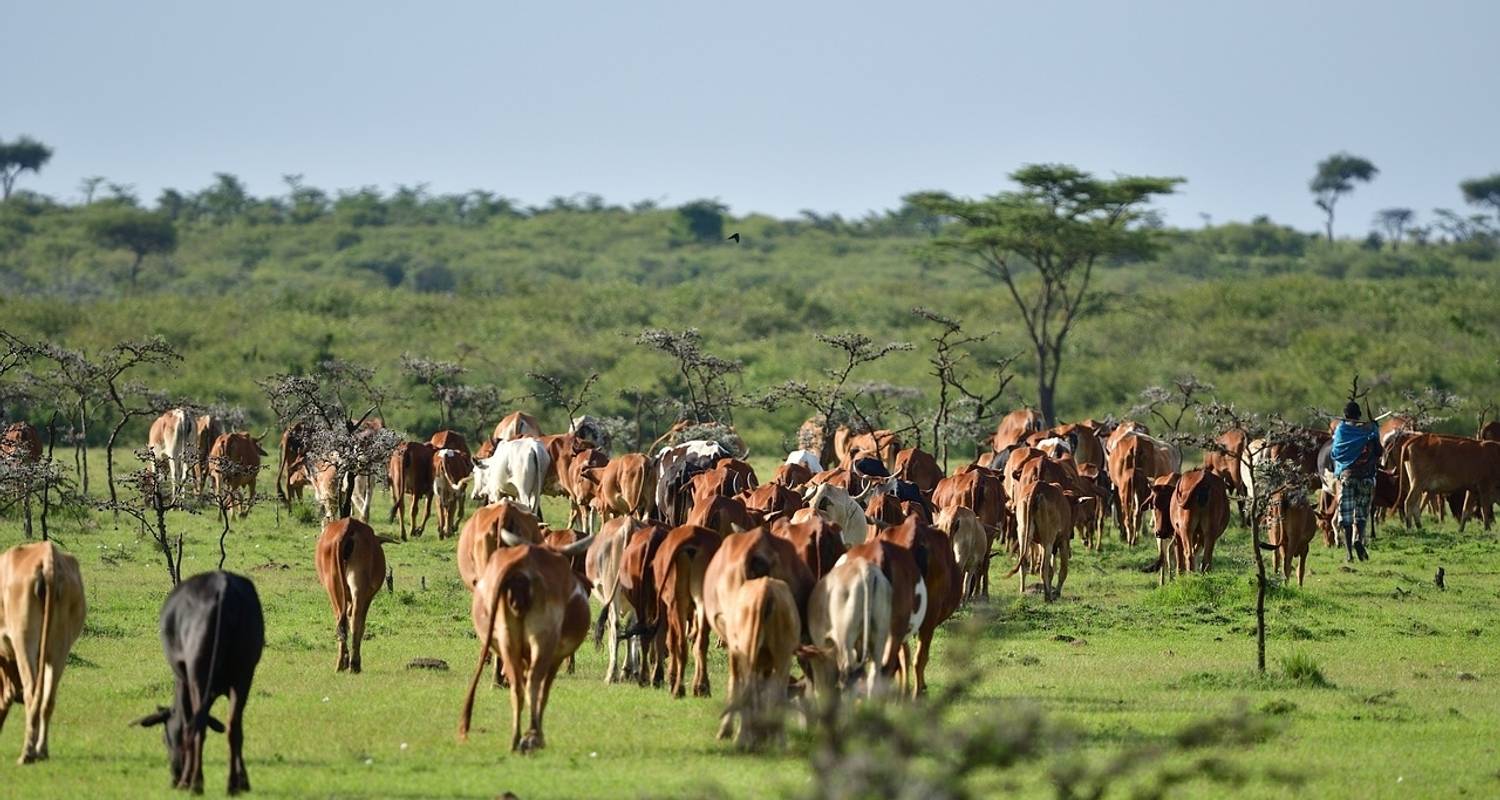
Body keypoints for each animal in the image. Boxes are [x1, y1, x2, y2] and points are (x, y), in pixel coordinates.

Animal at [0, 543, 85, 762]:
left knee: (32, 692)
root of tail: (47, 559)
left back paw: (27, 753)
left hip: (24, 640)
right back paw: (42, 750)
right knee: (48, 698)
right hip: (59, 649)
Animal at [133, 570, 265, 792]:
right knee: (234, 727)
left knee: (198, 726)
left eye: (164, 739)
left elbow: (187, 725)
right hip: (244, 675)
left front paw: (186, 780)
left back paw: (195, 782)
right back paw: (233, 785)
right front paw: (244, 780)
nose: (174, 777)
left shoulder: (183, 681)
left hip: (198, 675)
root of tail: (223, 586)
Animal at [315, 513, 387, 669]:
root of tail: (348, 526)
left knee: (342, 621)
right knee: (354, 620)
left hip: (333, 586)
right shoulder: (368, 596)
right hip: (357, 588)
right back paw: (353, 663)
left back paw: (343, 663)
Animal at [456, 540, 591, 750]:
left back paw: (516, 738)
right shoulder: (555, 657)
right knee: (533, 684)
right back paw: (533, 736)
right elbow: (544, 692)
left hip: (506, 640)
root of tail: (520, 565)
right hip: (542, 641)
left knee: (517, 687)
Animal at [648, 528, 723, 696]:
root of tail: (693, 536)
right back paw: (702, 687)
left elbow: (670, 640)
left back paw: (678, 689)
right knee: (701, 643)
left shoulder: (668, 607)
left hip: (676, 601)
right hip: (703, 601)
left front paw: (669, 676)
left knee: (681, 643)